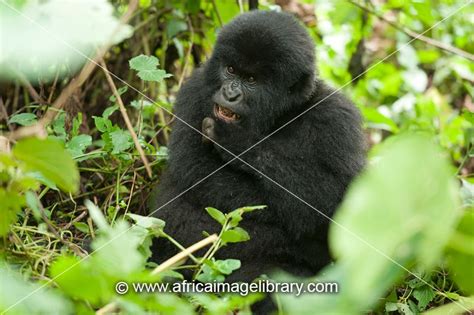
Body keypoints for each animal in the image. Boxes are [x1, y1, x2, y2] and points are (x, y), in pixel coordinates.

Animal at [150, 10, 364, 286]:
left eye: (251, 80)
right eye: (230, 70)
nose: (230, 93)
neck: (279, 117)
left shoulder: (337, 119)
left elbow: (338, 203)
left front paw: (236, 141)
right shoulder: (195, 89)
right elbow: (196, 169)